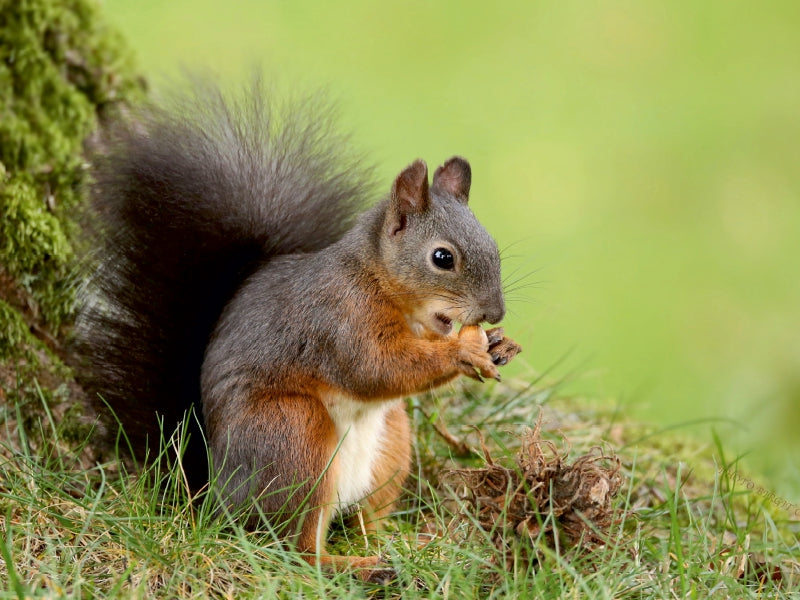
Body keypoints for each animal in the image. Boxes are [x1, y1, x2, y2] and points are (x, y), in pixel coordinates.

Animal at [74, 82, 521, 576]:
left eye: (493, 246)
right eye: (443, 258)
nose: (495, 312)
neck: (376, 280)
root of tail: (213, 495)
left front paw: (499, 344)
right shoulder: (337, 319)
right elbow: (375, 369)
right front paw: (463, 353)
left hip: (390, 446)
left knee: (363, 518)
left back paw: (402, 544)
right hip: (293, 436)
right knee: (294, 549)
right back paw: (355, 565)